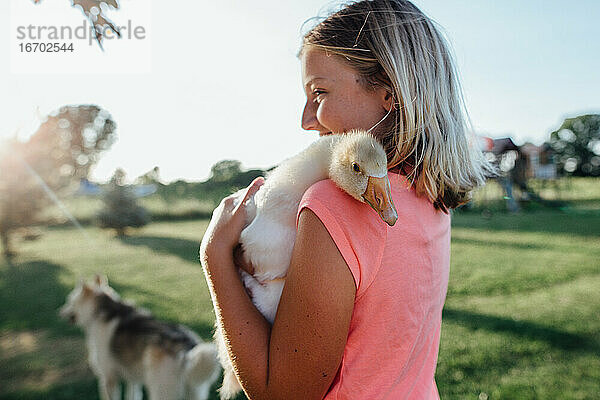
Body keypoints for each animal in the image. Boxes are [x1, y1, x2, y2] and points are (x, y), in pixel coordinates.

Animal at [59, 276, 220, 400]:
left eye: (69, 301)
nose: (59, 312)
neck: (102, 310)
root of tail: (186, 350)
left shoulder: (108, 377)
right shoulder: (133, 379)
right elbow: (133, 395)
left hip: (160, 391)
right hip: (193, 392)